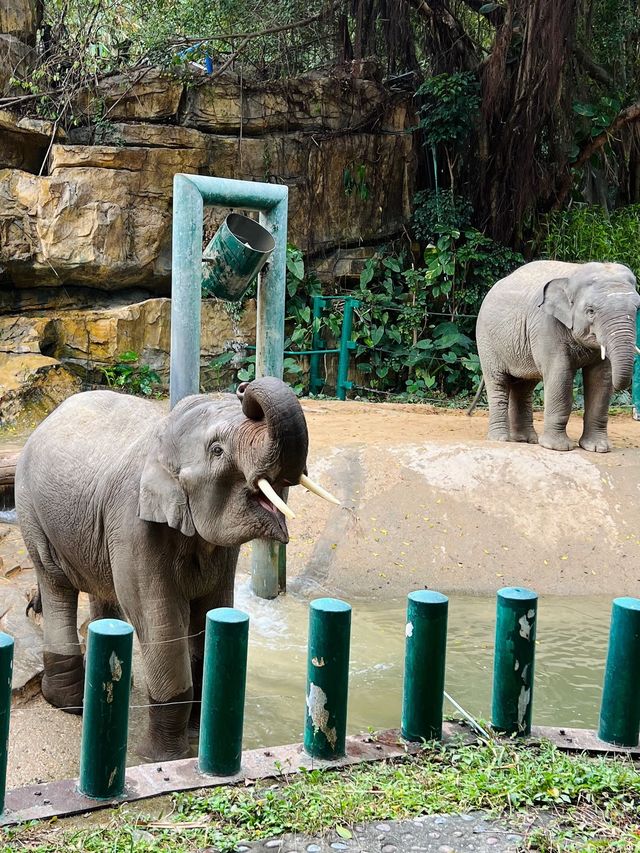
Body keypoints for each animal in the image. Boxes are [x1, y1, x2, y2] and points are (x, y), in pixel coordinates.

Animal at [15, 378, 336, 760]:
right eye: (217, 450)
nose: (244, 387)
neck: (161, 441)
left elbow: (211, 613)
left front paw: (197, 735)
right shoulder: (133, 525)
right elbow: (160, 621)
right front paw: (163, 757)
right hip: (32, 511)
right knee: (55, 583)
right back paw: (70, 704)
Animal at [476, 258, 640, 452]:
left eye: (637, 309)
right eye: (590, 311)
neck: (574, 274)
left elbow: (601, 377)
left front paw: (598, 448)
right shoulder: (546, 325)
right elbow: (559, 374)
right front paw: (557, 448)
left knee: (524, 386)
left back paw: (526, 440)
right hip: (487, 341)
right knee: (498, 382)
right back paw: (501, 439)